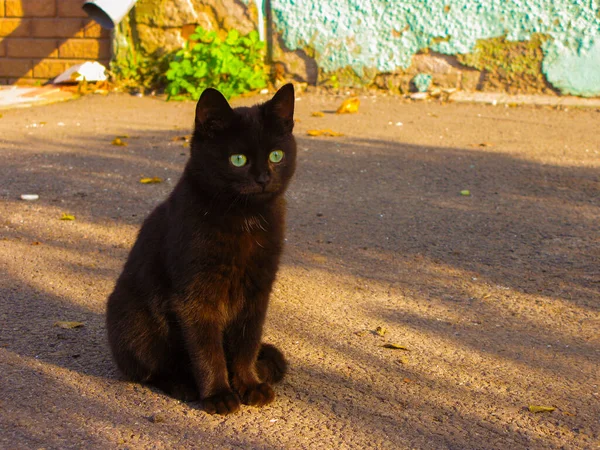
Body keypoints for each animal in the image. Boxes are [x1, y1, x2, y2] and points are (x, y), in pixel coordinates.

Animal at [108, 84, 298, 414]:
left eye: (277, 155)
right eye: (238, 159)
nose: (263, 178)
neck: (244, 218)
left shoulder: (257, 291)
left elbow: (246, 343)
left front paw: (249, 384)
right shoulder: (195, 295)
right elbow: (207, 350)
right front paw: (218, 394)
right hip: (133, 319)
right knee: (152, 369)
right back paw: (184, 385)